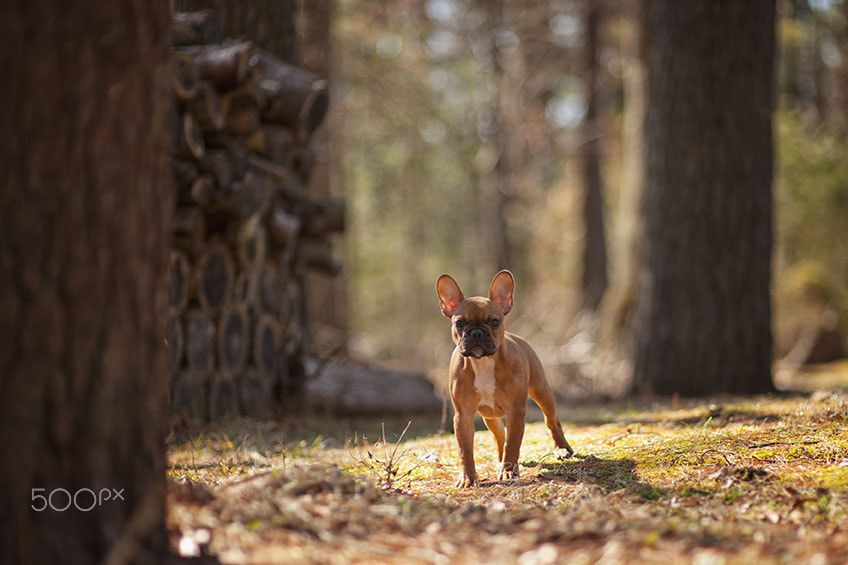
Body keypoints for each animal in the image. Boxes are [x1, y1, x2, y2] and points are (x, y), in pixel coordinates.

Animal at [438, 268, 568, 484]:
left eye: (494, 322)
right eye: (460, 323)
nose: (476, 332)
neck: (483, 362)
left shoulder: (516, 410)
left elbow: (513, 442)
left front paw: (509, 471)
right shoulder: (463, 416)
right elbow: (465, 449)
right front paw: (468, 477)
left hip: (542, 392)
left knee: (551, 420)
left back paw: (562, 449)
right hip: (489, 416)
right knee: (499, 434)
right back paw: (499, 460)